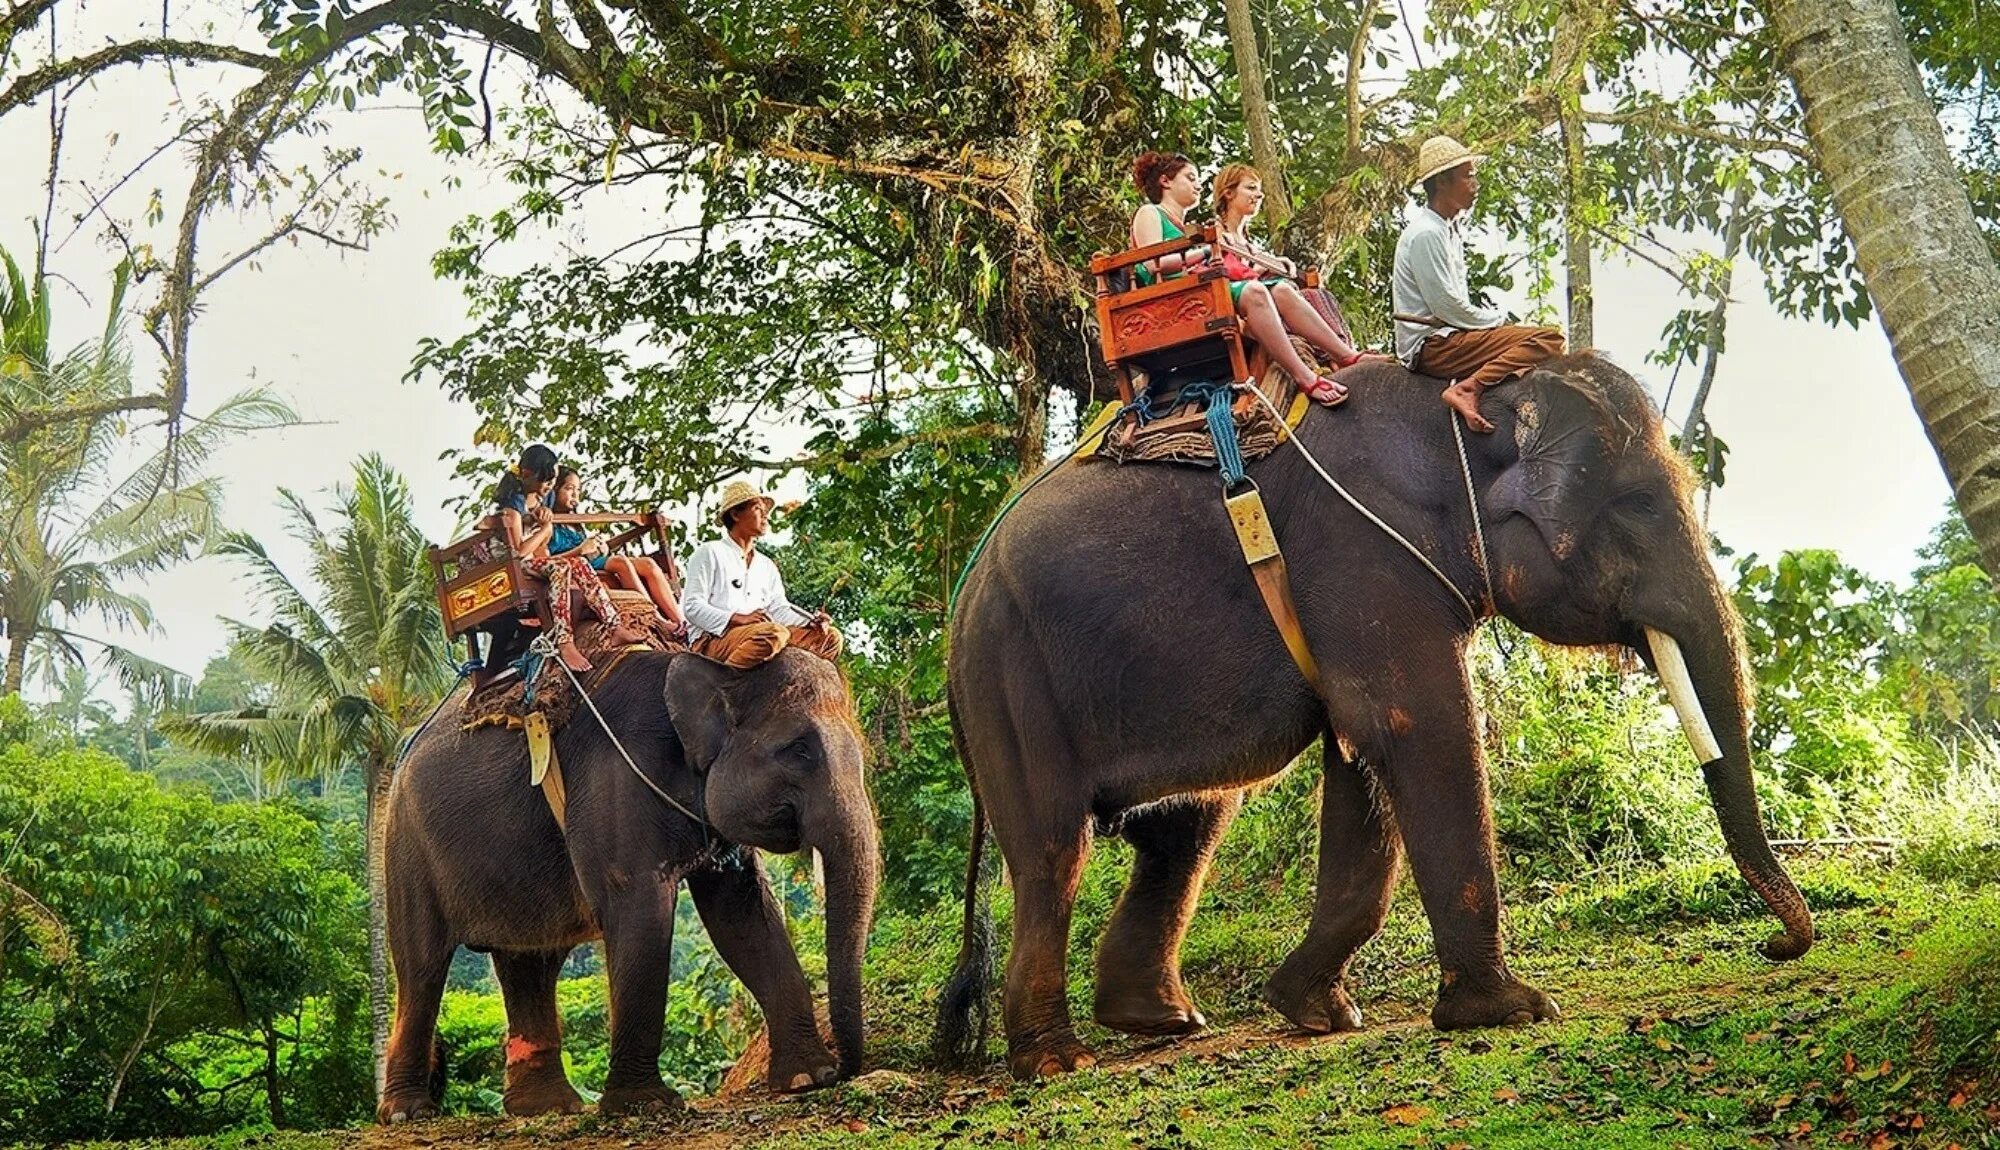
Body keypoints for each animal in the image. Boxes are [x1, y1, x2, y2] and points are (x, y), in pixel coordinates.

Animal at [376, 652, 876, 1120]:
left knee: (529, 962)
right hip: (405, 848)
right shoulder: (615, 784)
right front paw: (645, 1103)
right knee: (422, 967)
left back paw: (547, 1108)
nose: (848, 1068)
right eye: (799, 750)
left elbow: (742, 916)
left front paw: (809, 1078)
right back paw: (408, 1112)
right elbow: (641, 910)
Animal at [936, 354, 1816, 1080]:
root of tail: (960, 603)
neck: (1459, 412)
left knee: (1188, 827)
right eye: (1636, 506)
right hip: (1009, 678)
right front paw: (1514, 1011)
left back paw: (1164, 1021)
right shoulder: (1361, 553)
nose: (1774, 945)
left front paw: (1315, 1011)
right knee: (1054, 852)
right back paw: (1057, 1062)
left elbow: (1361, 756)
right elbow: (1416, 726)